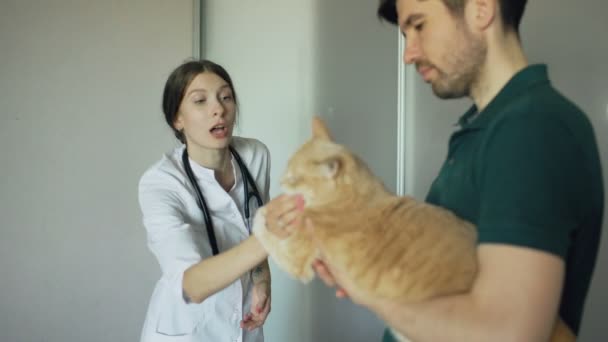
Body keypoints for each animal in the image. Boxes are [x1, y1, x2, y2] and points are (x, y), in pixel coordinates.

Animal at [252, 117, 576, 342]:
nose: (279, 181)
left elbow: (262, 225)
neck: (359, 196)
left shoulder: (297, 258)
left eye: (293, 177)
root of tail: (557, 324)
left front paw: (260, 215)